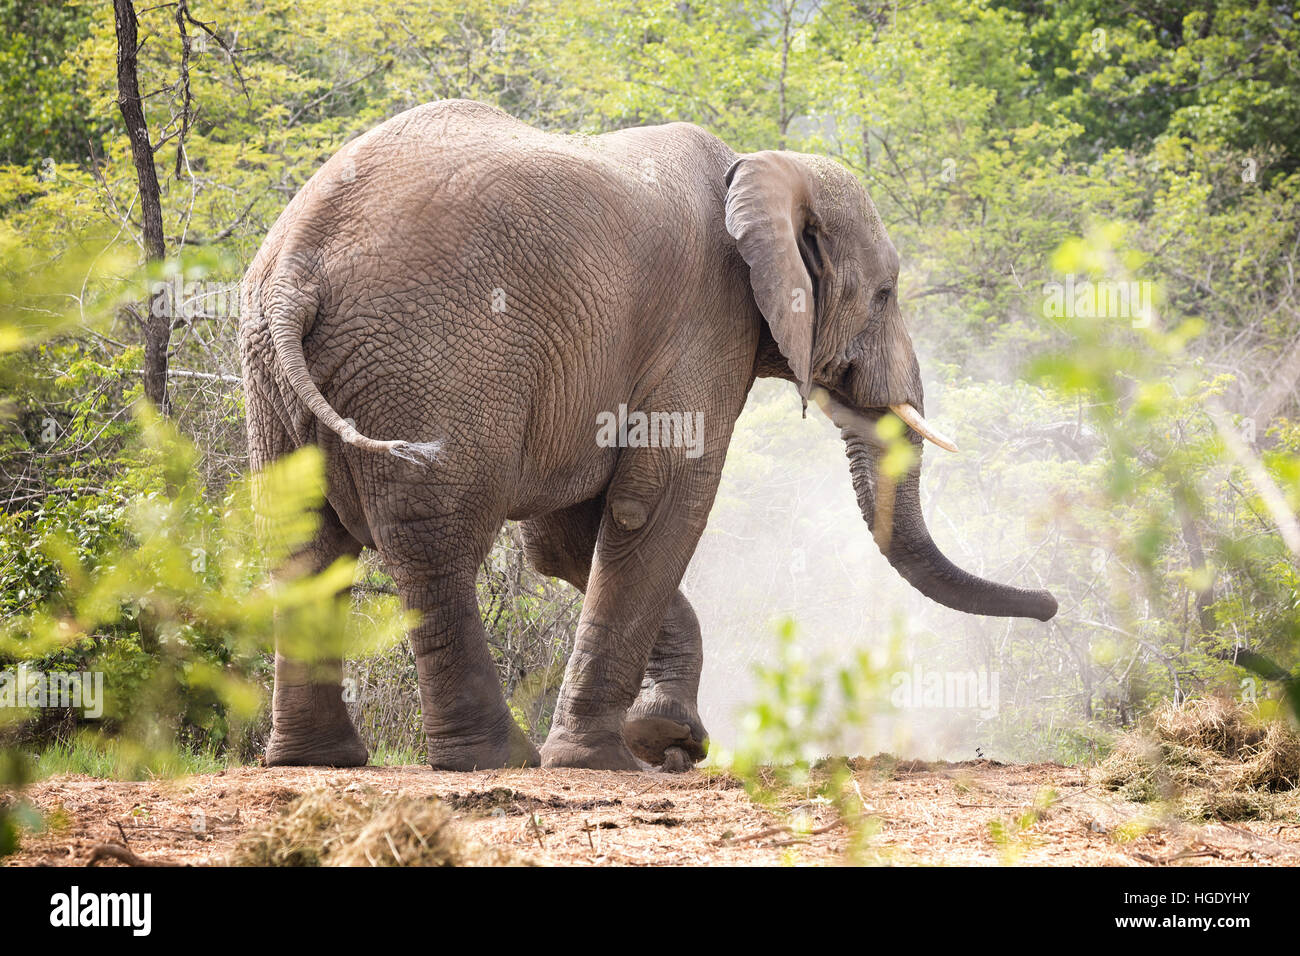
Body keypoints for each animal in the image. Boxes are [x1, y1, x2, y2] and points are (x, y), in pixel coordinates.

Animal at [239, 99, 1057, 773]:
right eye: (884, 294)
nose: (1051, 607)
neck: (756, 171)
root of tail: (295, 274)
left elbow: (567, 540)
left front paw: (669, 743)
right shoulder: (704, 319)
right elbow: (660, 504)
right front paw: (610, 760)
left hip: (275, 377)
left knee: (304, 543)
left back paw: (318, 761)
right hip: (439, 361)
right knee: (436, 542)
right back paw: (495, 759)